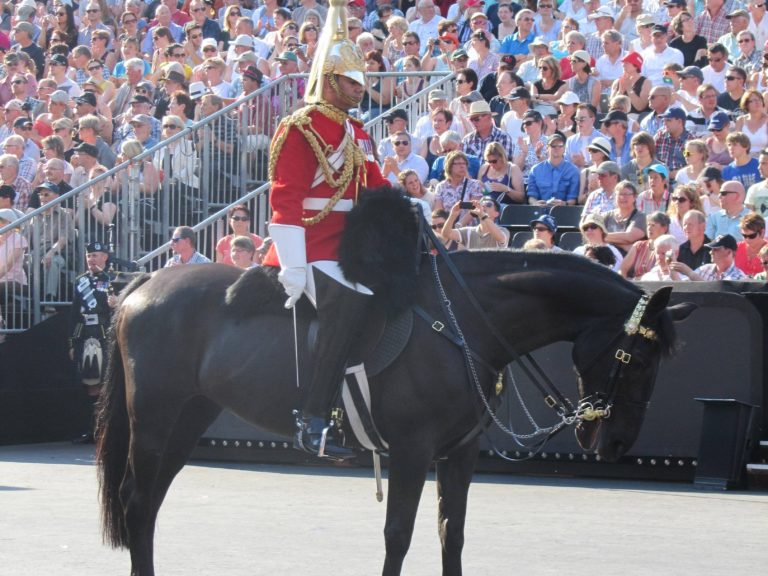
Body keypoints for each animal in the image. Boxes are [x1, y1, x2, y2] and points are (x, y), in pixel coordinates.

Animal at [96, 252, 696, 576]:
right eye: (638, 359)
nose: (615, 443)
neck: (463, 326)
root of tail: (146, 282)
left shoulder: (459, 455)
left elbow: (451, 532)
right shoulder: (411, 452)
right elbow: (399, 535)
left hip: (187, 418)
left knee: (147, 503)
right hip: (155, 418)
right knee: (136, 499)